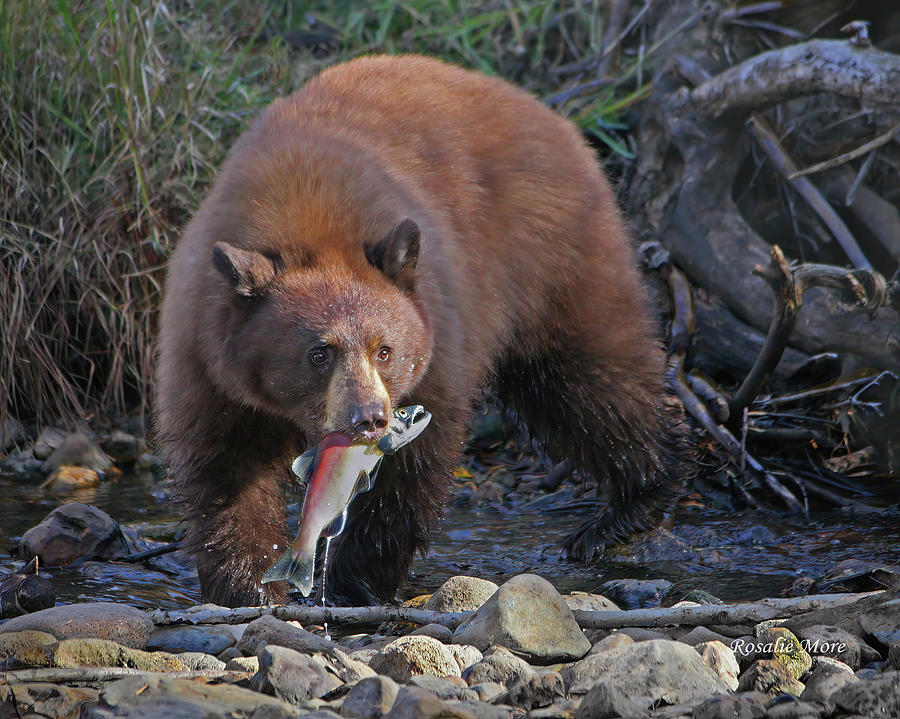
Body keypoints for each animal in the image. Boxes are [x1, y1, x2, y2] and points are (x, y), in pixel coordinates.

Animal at [158, 54, 684, 608]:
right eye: (318, 353)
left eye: (385, 350)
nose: (369, 418)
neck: (298, 218)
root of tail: (544, 111)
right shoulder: (207, 356)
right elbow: (227, 469)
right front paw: (251, 586)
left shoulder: (439, 330)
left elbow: (412, 466)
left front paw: (354, 581)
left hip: (549, 252)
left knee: (587, 378)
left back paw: (635, 499)